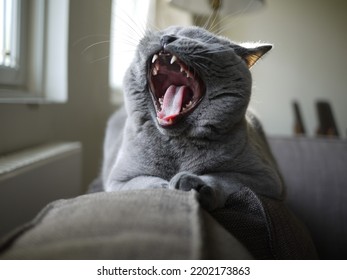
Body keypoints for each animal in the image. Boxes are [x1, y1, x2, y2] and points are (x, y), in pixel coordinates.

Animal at [101, 25, 286, 210]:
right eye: (161, 33)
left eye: (195, 37)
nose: (166, 37)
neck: (176, 145)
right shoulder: (118, 179)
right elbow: (143, 183)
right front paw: (165, 187)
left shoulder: (266, 178)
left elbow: (225, 178)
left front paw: (190, 182)